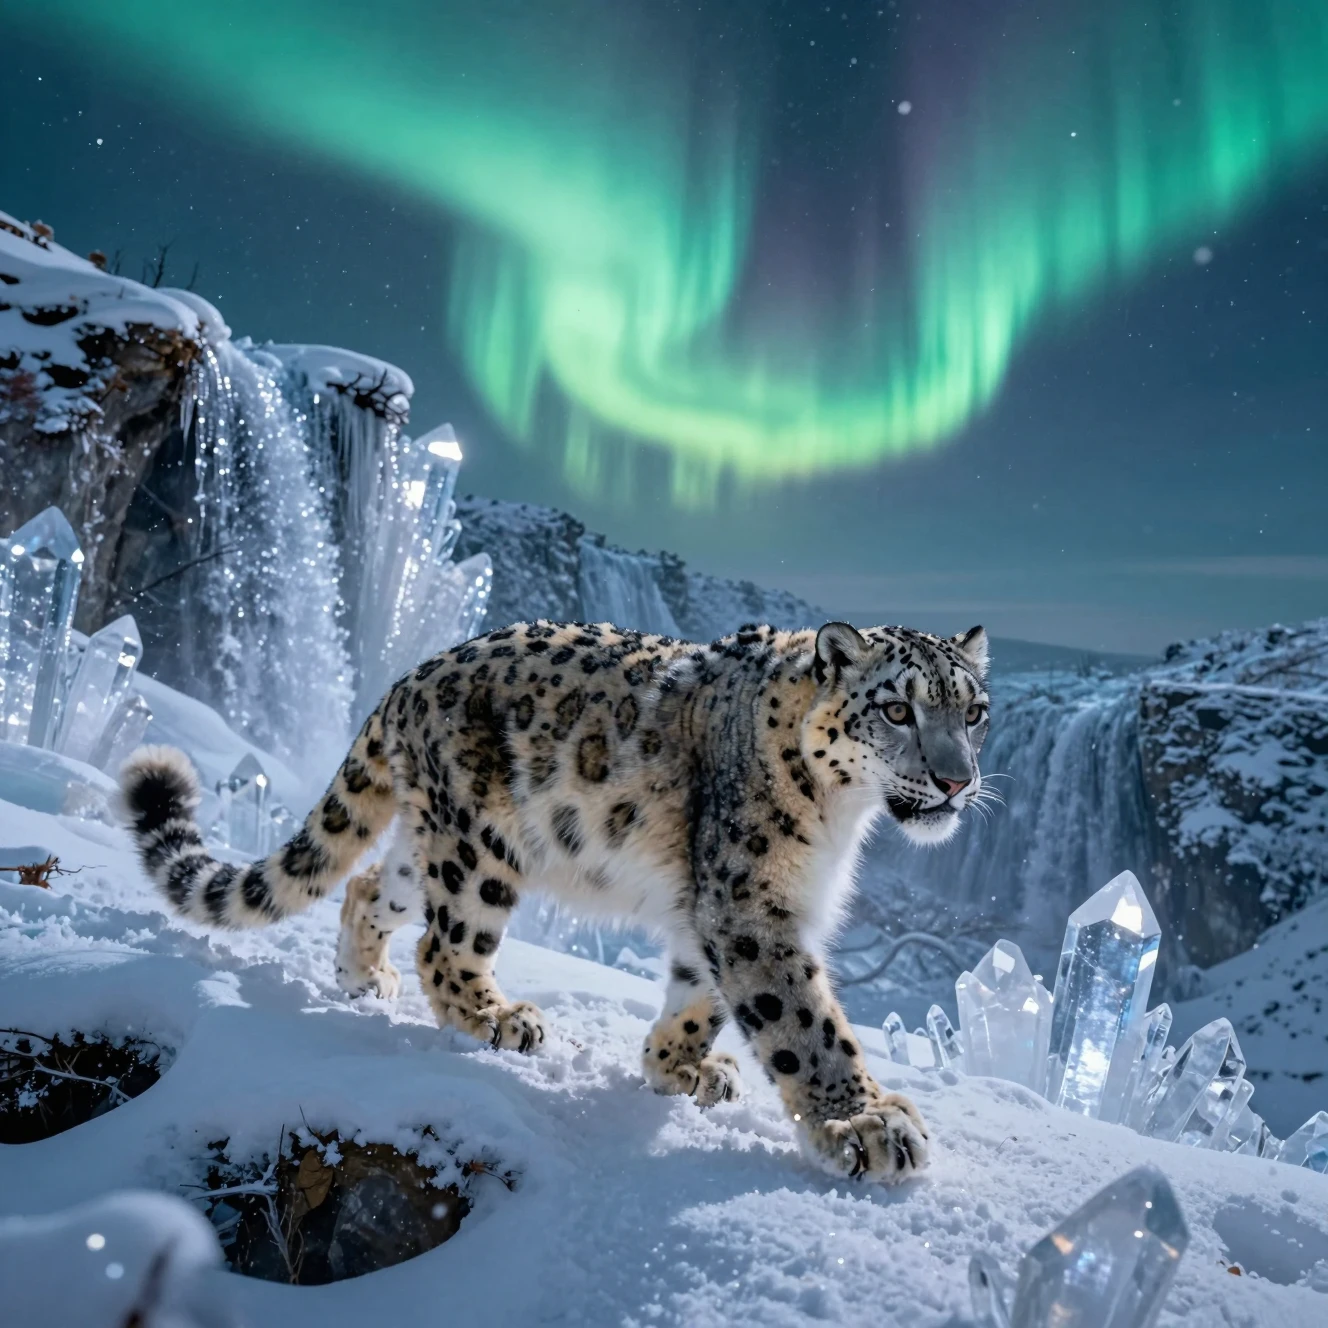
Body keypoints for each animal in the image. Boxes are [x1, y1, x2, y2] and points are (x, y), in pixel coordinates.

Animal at [120, 618, 990, 1184]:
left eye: (974, 711)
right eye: (897, 708)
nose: (957, 781)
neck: (842, 820)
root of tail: (408, 679)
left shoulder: (715, 911)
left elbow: (698, 994)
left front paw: (678, 1067)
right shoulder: (750, 905)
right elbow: (802, 1021)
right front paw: (868, 1124)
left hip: (429, 847)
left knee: (371, 885)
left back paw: (364, 978)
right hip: (481, 852)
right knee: (446, 944)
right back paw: (497, 1018)